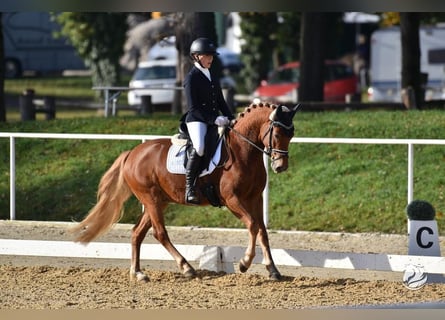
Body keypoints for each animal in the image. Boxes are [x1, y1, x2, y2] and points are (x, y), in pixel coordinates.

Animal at [72, 102, 298, 280]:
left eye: (292, 134)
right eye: (278, 133)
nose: (280, 166)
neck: (243, 151)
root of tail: (132, 153)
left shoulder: (255, 198)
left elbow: (262, 231)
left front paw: (273, 270)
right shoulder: (232, 199)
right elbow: (252, 225)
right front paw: (244, 263)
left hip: (158, 201)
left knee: (137, 233)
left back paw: (138, 273)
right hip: (151, 199)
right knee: (160, 233)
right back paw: (186, 268)